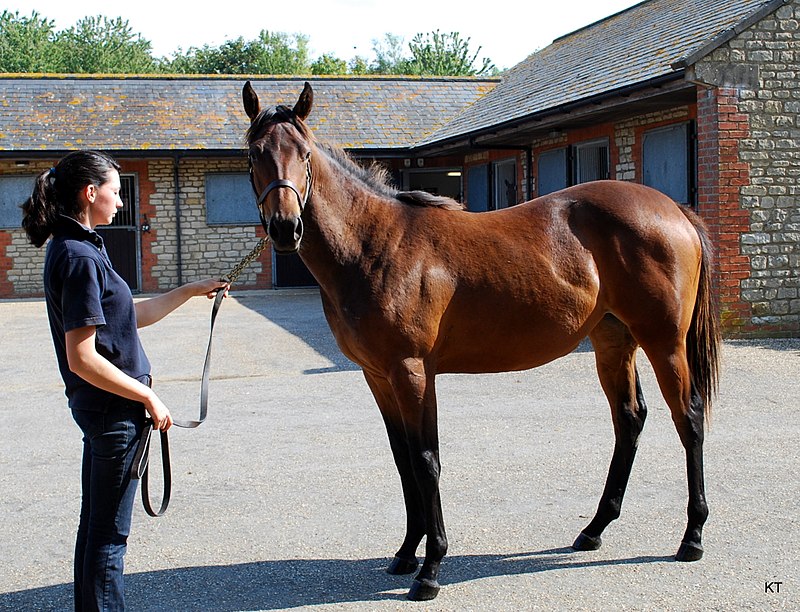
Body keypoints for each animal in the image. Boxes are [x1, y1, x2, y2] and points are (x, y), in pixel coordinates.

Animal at [241, 82, 720, 604]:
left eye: (304, 154)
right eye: (254, 153)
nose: (285, 228)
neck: (375, 246)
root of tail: (675, 210)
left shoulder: (412, 371)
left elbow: (426, 460)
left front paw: (430, 569)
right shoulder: (377, 376)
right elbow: (403, 460)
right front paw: (406, 553)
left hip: (664, 342)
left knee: (688, 418)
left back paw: (693, 537)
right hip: (614, 341)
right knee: (630, 420)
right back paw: (593, 530)